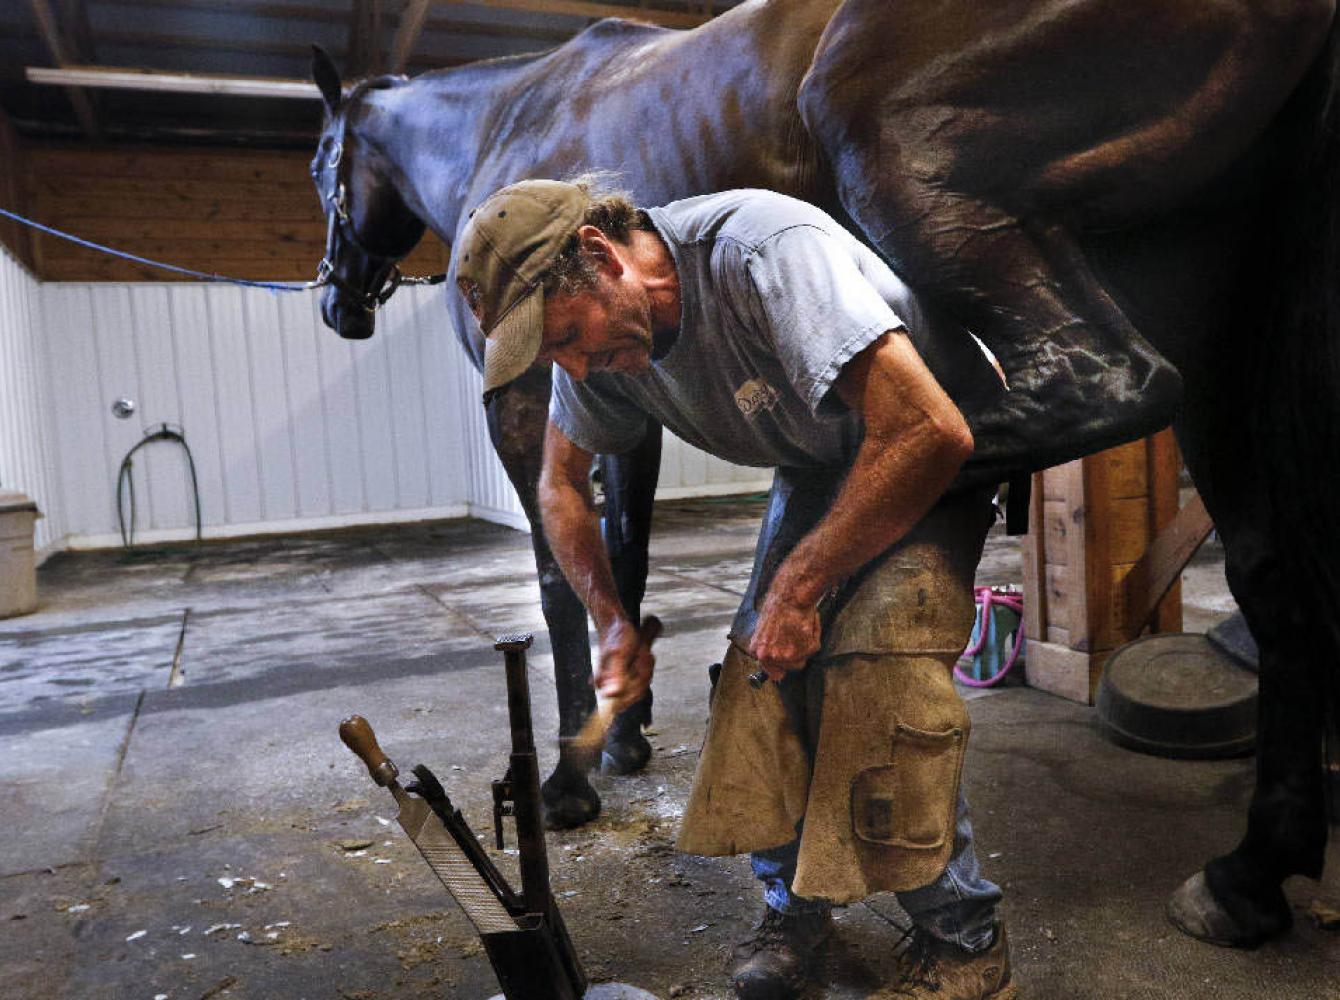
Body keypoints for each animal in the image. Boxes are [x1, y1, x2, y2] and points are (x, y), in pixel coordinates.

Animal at [308, 0, 1340, 949]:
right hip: (1202, 294)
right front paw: (626, 726)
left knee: (1092, 388)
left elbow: (561, 581)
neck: (510, 118)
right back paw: (1249, 875)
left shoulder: (520, 399)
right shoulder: (618, 414)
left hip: (900, 156)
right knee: (1272, 578)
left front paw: (565, 780)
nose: (335, 303)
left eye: (322, 164)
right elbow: (620, 558)